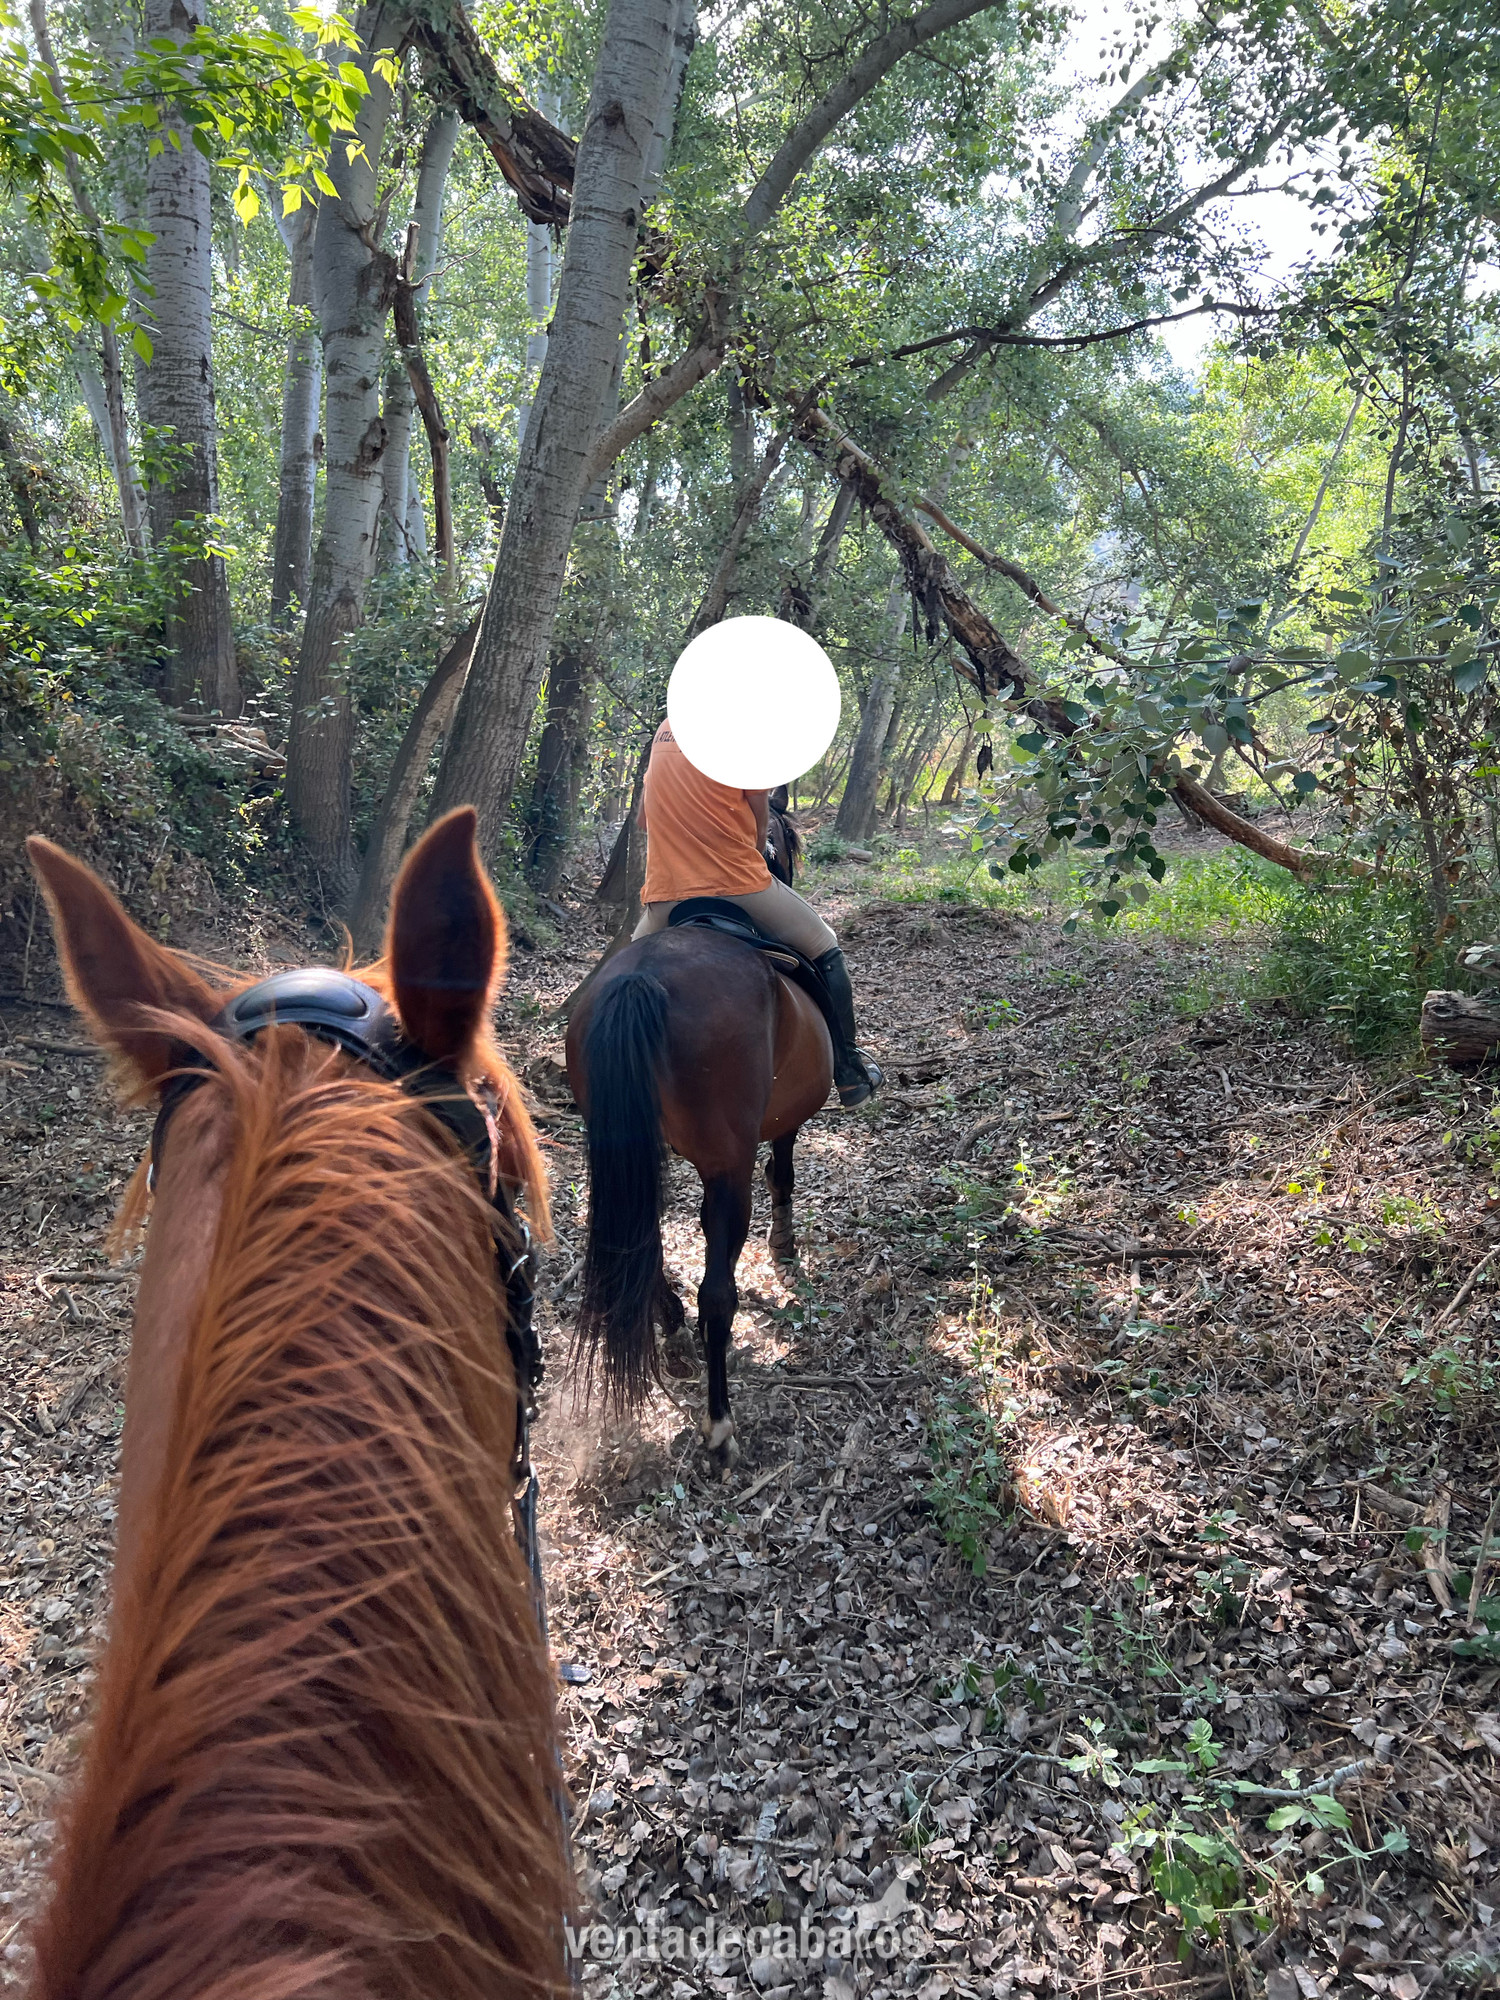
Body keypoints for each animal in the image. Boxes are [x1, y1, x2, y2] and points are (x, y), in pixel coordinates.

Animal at [565, 892, 833, 1465]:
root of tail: (642, 976)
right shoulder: (775, 1127)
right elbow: (781, 1174)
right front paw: (783, 1243)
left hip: (629, 1154)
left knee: (641, 1247)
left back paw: (674, 1331)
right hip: (726, 1162)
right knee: (716, 1293)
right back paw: (719, 1422)